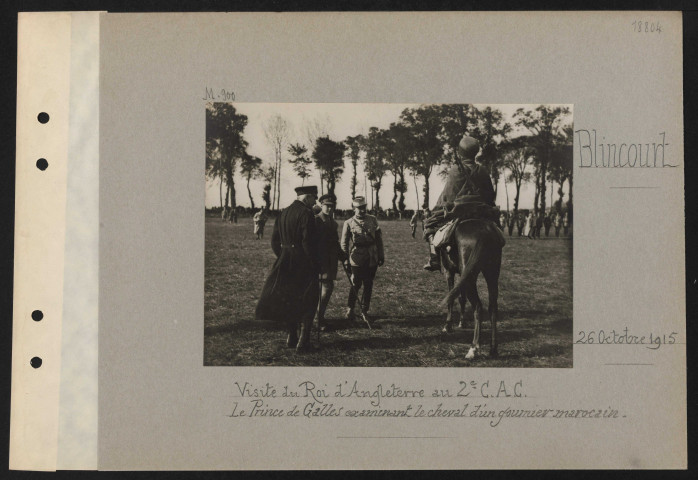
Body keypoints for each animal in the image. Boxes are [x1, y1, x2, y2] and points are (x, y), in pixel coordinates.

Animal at [438, 219, 502, 358]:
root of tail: (485, 231)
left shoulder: (449, 272)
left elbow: (451, 299)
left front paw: (448, 325)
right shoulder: (461, 275)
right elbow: (461, 298)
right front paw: (462, 322)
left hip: (470, 277)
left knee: (478, 307)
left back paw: (473, 348)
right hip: (492, 274)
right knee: (492, 308)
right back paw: (493, 349)